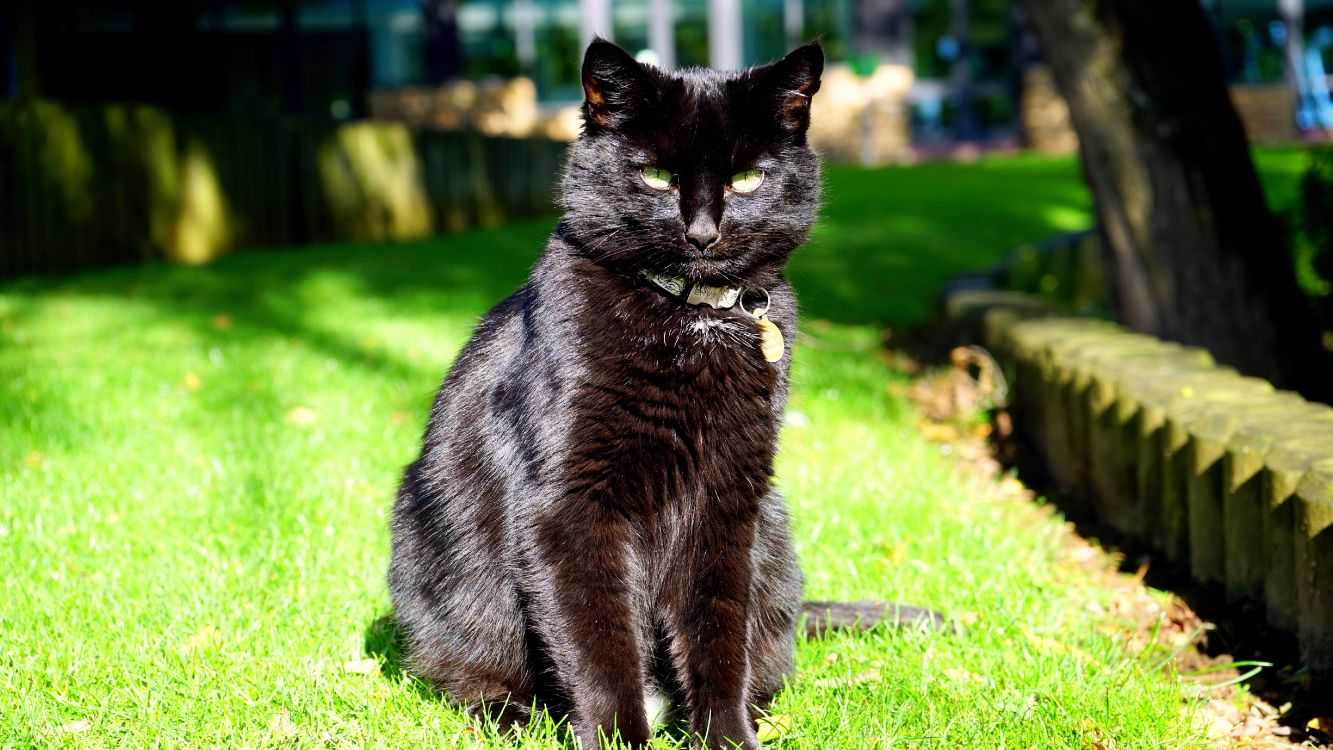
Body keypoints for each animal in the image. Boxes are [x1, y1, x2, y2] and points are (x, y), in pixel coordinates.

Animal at [389, 41, 943, 750]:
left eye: (746, 179)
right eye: (655, 175)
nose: (703, 232)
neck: (692, 318)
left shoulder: (727, 500)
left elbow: (717, 637)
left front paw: (727, 738)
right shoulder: (568, 504)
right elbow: (598, 644)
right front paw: (622, 739)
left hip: (773, 537)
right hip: (441, 572)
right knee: (475, 678)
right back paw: (517, 718)